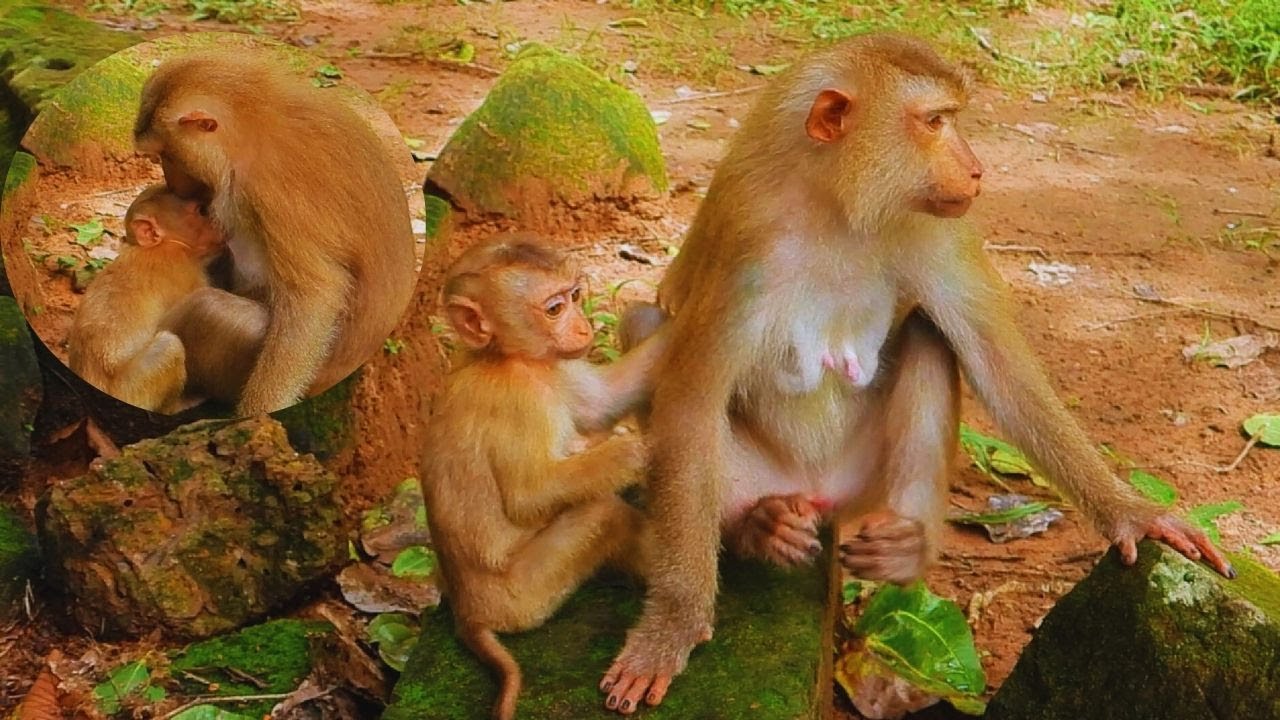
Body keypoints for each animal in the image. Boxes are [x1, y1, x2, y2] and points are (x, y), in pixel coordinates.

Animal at [67, 184, 224, 413]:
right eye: (202, 211)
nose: (221, 225)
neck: (164, 245)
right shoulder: (184, 268)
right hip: (133, 390)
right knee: (170, 345)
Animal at [133, 50, 416, 416]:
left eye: (165, 155)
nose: (172, 183)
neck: (253, 124)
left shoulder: (274, 195)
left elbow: (315, 297)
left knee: (210, 307)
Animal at [421, 234, 669, 720]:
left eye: (574, 296)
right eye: (554, 309)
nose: (584, 328)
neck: (504, 356)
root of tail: (466, 613)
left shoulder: (555, 367)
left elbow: (603, 403)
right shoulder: (517, 400)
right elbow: (528, 496)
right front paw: (634, 451)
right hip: (525, 598)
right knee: (600, 515)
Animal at [598, 33, 1235, 714]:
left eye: (951, 119)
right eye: (934, 122)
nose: (977, 170)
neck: (836, 206)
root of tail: (820, 493)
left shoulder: (934, 227)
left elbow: (999, 365)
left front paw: (1133, 513)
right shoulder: (748, 238)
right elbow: (691, 399)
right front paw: (674, 626)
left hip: (865, 486)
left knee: (931, 336)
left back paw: (906, 550)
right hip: (759, 476)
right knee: (646, 327)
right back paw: (757, 527)